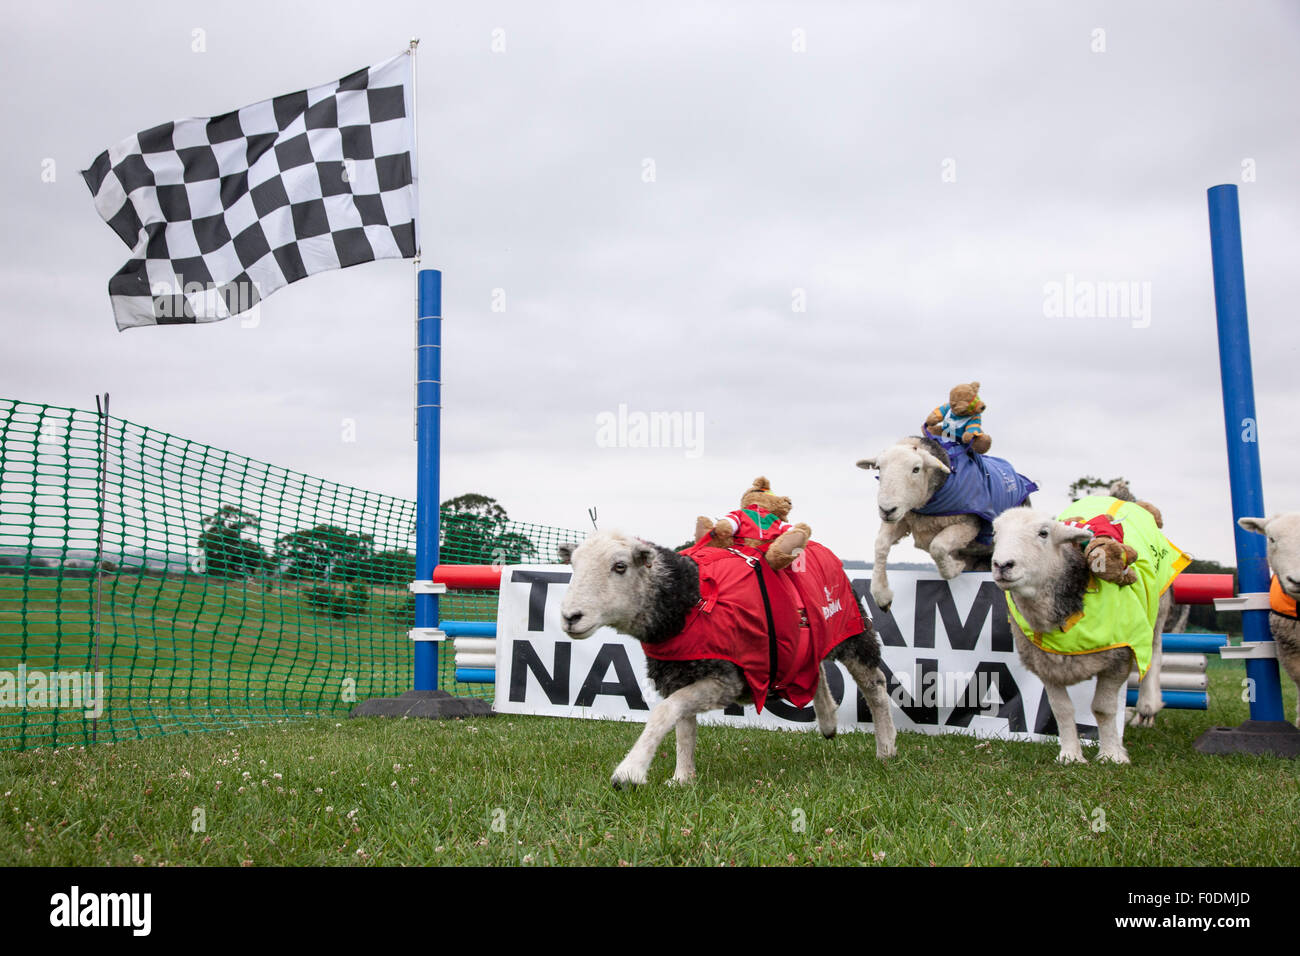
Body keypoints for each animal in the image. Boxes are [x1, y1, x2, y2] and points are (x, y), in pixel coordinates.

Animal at [553, 528, 899, 790]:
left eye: (620, 566)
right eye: (574, 566)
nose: (570, 617)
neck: (689, 599)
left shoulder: (727, 678)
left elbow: (665, 713)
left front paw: (630, 771)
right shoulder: (680, 672)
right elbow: (683, 726)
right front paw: (683, 778)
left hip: (852, 630)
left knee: (876, 685)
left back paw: (886, 748)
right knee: (814, 670)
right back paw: (828, 720)